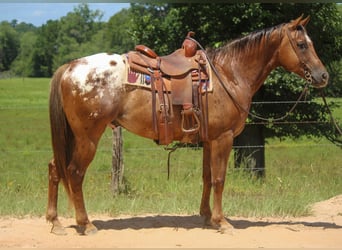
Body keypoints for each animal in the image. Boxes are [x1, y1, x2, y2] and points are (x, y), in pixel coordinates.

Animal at [46, 15, 328, 234]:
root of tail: (69, 67)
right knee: (74, 173)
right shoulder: (223, 138)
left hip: (72, 137)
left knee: (55, 168)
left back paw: (55, 221)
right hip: (88, 138)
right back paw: (86, 224)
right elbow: (219, 178)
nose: (323, 75)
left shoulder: (209, 139)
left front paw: (207, 217)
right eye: (301, 45)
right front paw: (222, 222)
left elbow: (207, 177)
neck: (229, 73)